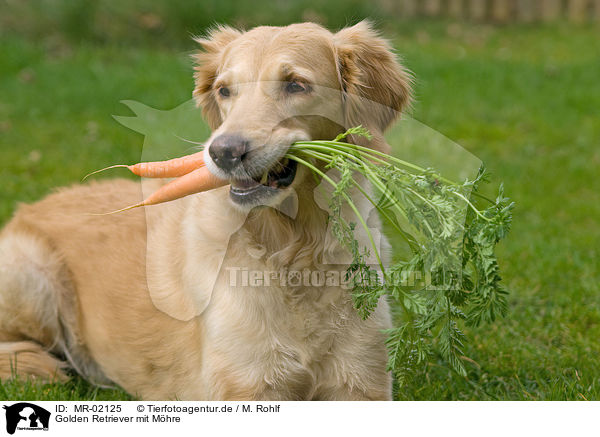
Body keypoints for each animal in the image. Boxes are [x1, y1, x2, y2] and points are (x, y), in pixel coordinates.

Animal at [0, 22, 412, 400]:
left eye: (296, 84)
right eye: (224, 90)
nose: (223, 152)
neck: (295, 247)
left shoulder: (362, 380)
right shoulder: (246, 385)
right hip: (32, 277)